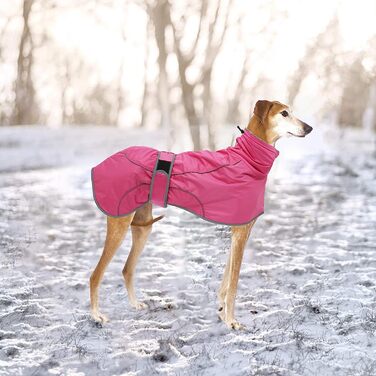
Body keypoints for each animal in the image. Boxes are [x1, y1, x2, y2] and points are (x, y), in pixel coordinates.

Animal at [88, 100, 312, 328]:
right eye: (284, 113)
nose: (309, 128)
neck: (247, 159)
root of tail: (102, 163)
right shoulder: (241, 233)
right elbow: (234, 284)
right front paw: (232, 321)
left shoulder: (240, 233)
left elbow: (226, 280)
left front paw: (222, 313)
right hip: (119, 224)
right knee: (95, 275)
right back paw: (96, 315)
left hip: (143, 227)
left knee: (127, 269)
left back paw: (134, 304)